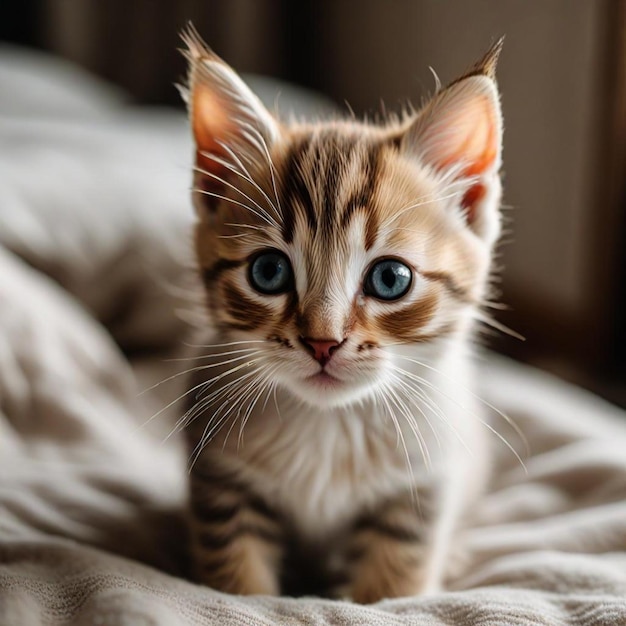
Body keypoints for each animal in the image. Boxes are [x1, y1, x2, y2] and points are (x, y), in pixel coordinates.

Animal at [179, 26, 502, 604]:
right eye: (268, 272)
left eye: (390, 279)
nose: (322, 342)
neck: (329, 427)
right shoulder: (221, 481)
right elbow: (237, 583)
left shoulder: (423, 486)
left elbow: (393, 586)